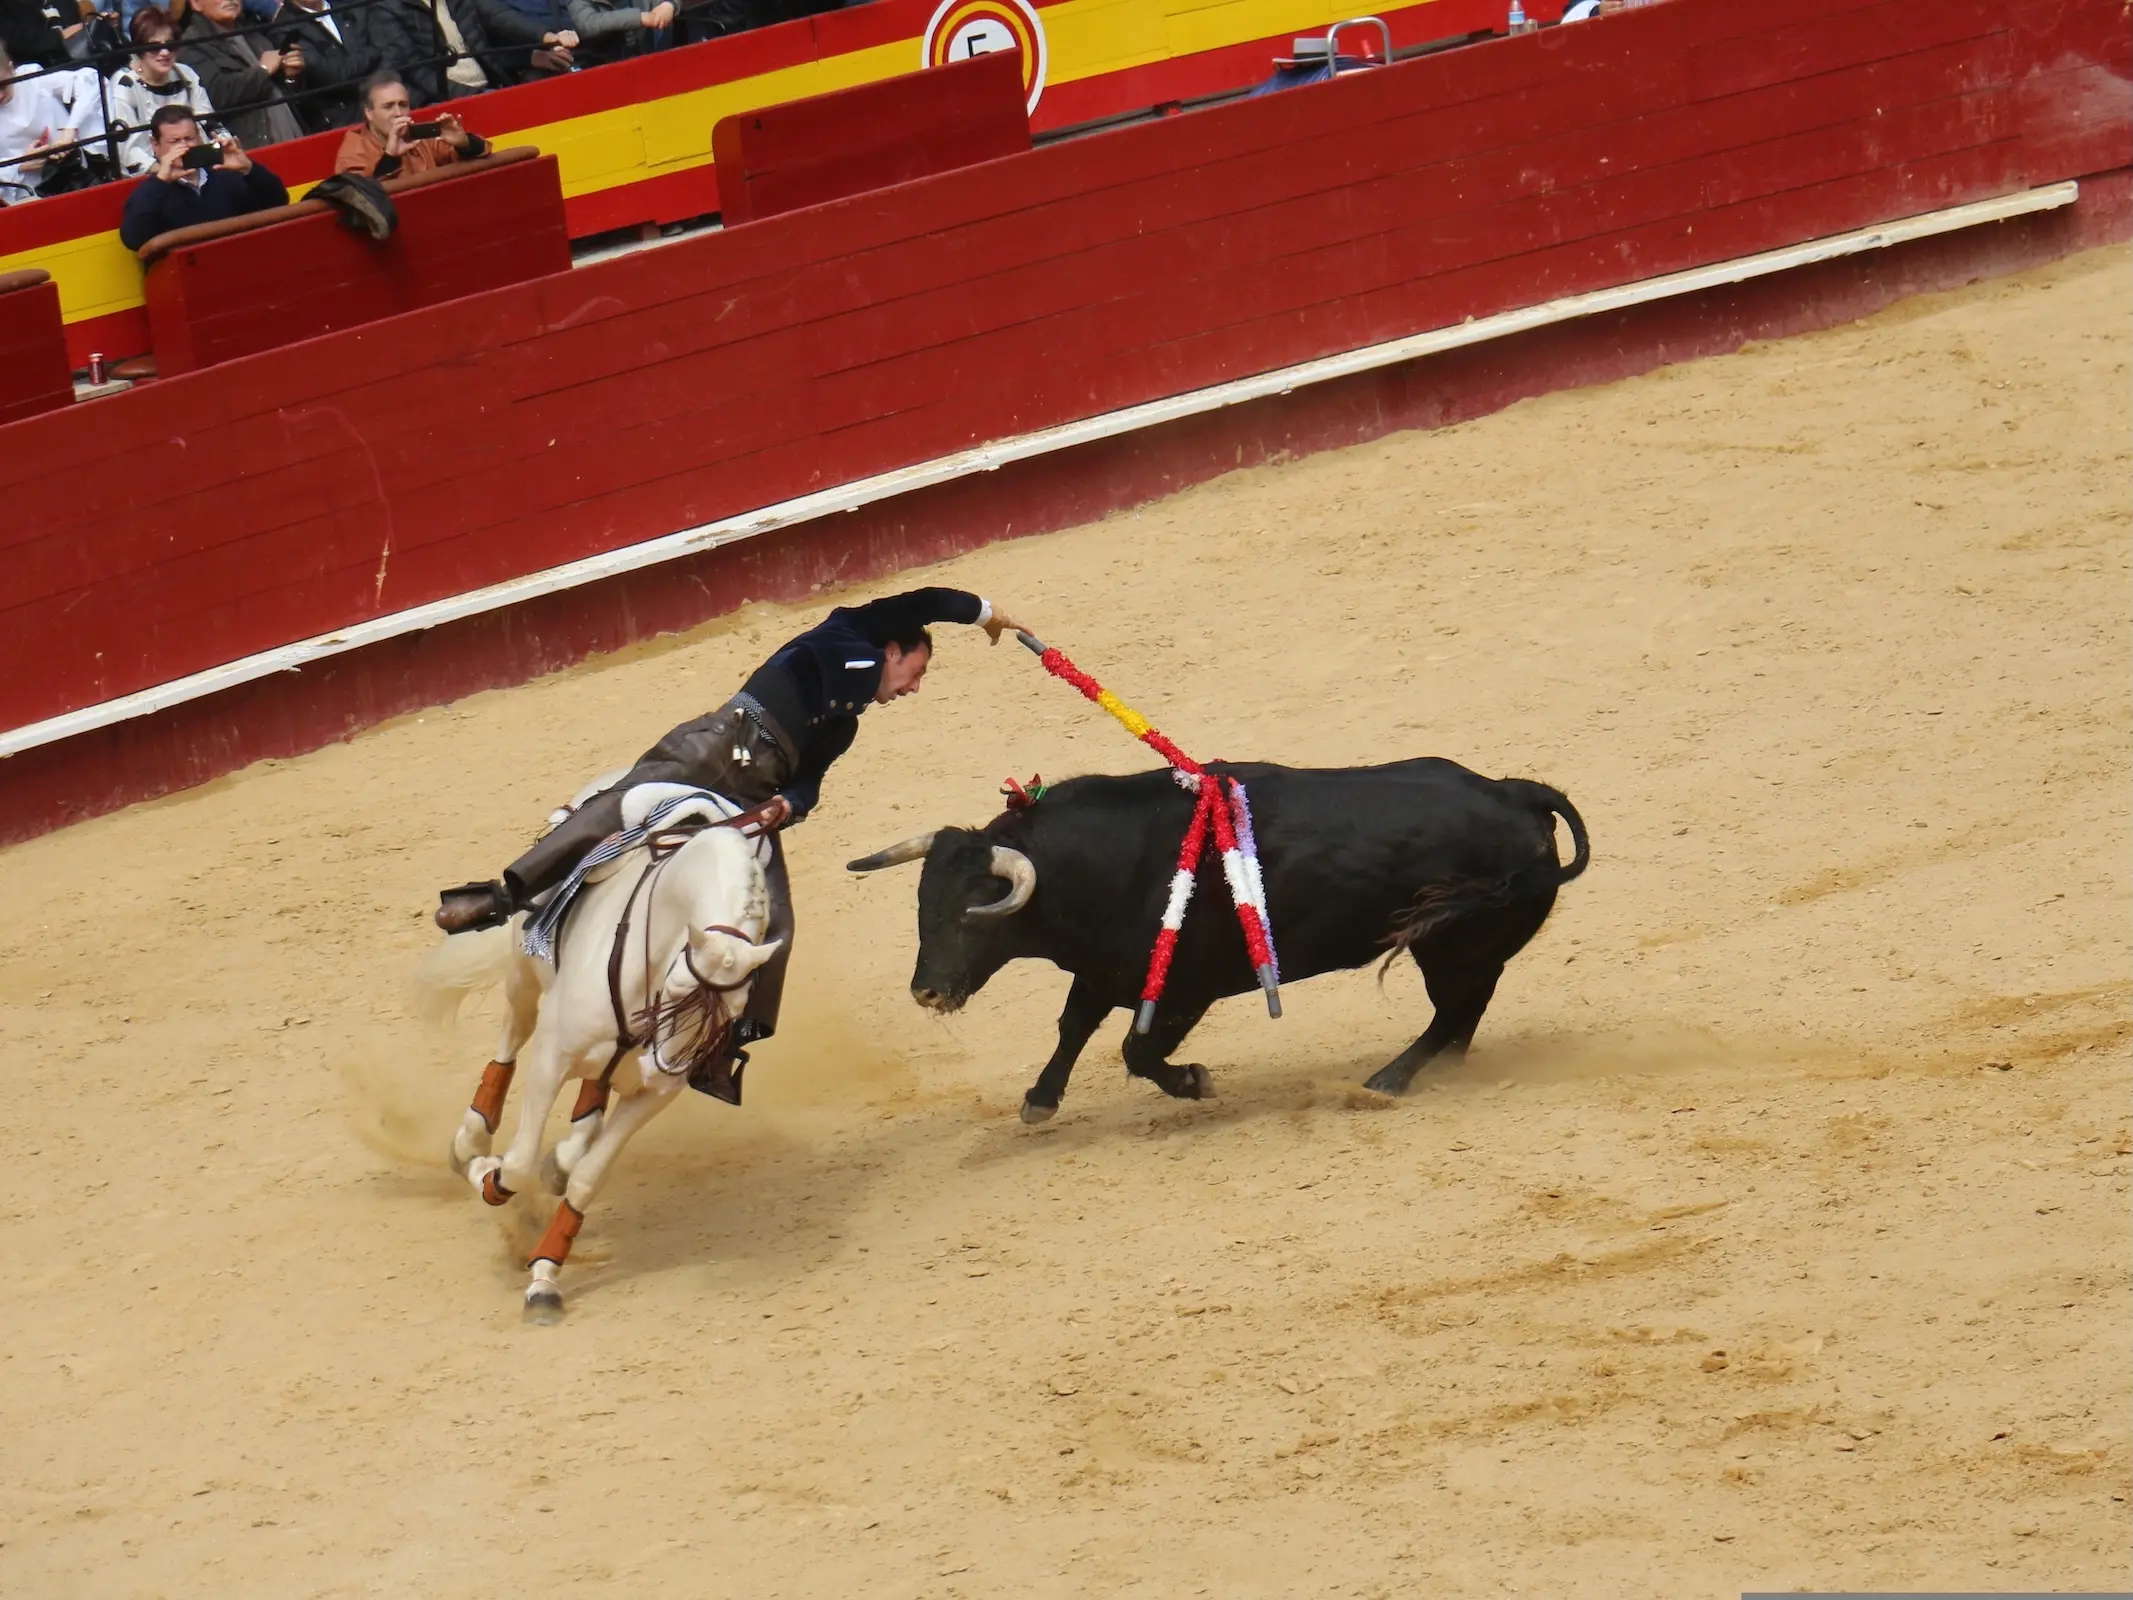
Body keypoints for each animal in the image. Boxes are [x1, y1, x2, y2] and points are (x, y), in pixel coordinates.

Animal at [413, 783, 783, 1321]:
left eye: (736, 1009)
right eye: (678, 985)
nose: (662, 1066)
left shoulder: (652, 1098)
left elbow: (588, 1178)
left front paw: (545, 1277)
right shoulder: (552, 1057)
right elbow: (517, 1163)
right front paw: (488, 1173)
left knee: (590, 1103)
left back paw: (561, 1154)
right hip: (523, 979)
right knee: (509, 1044)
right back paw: (470, 1145)